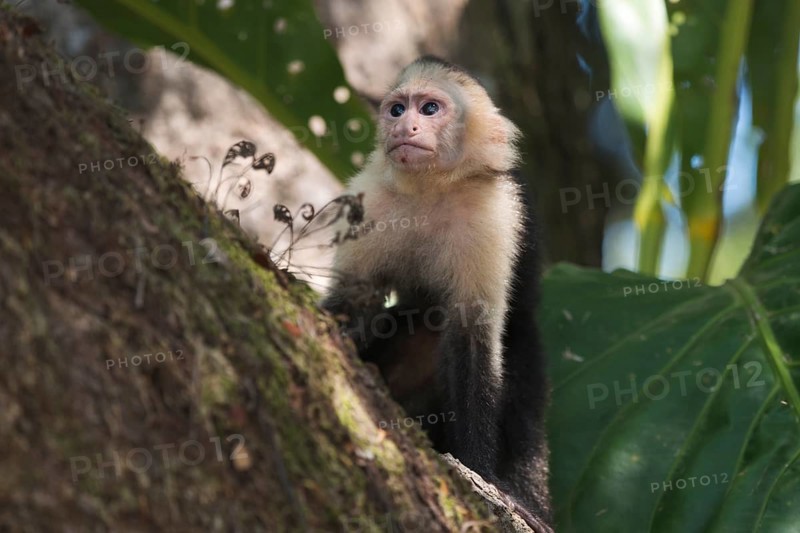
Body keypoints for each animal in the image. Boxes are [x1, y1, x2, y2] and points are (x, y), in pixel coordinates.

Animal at [323, 56, 551, 529]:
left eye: (429, 109)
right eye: (396, 109)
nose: (403, 126)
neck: (431, 190)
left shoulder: (493, 214)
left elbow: (472, 338)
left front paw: (480, 474)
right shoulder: (371, 199)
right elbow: (355, 301)